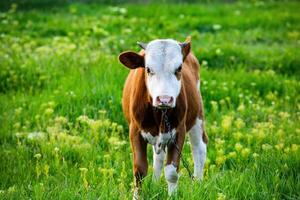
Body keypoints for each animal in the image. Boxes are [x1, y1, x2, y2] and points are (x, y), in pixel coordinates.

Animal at [118, 37, 207, 198]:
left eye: (179, 68)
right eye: (148, 69)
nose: (164, 99)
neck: (160, 113)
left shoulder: (179, 132)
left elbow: (172, 172)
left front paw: (172, 196)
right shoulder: (135, 131)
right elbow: (139, 171)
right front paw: (137, 196)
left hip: (198, 116)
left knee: (199, 148)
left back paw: (198, 184)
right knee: (158, 158)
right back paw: (154, 183)